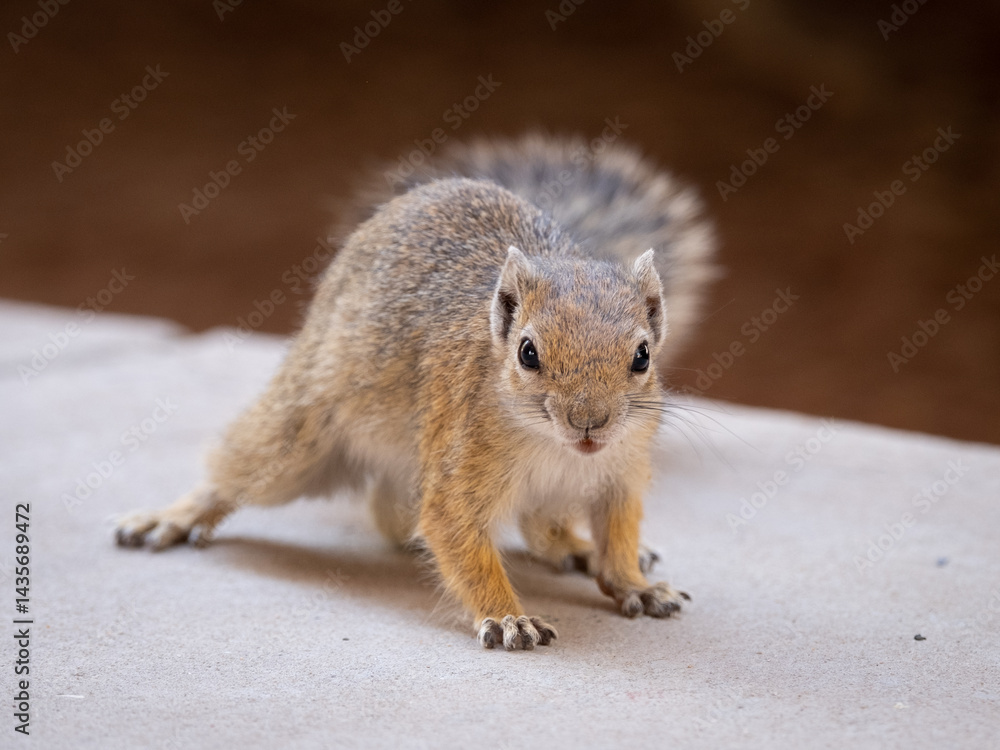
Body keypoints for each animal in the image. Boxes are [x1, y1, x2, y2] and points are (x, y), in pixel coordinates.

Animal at [115, 134, 717, 651]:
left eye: (643, 356)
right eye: (527, 352)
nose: (589, 422)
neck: (557, 449)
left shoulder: (620, 475)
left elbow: (617, 538)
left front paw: (634, 582)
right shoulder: (458, 465)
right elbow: (456, 536)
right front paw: (507, 615)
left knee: (537, 527)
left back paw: (578, 549)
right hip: (302, 436)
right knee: (244, 472)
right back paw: (174, 515)